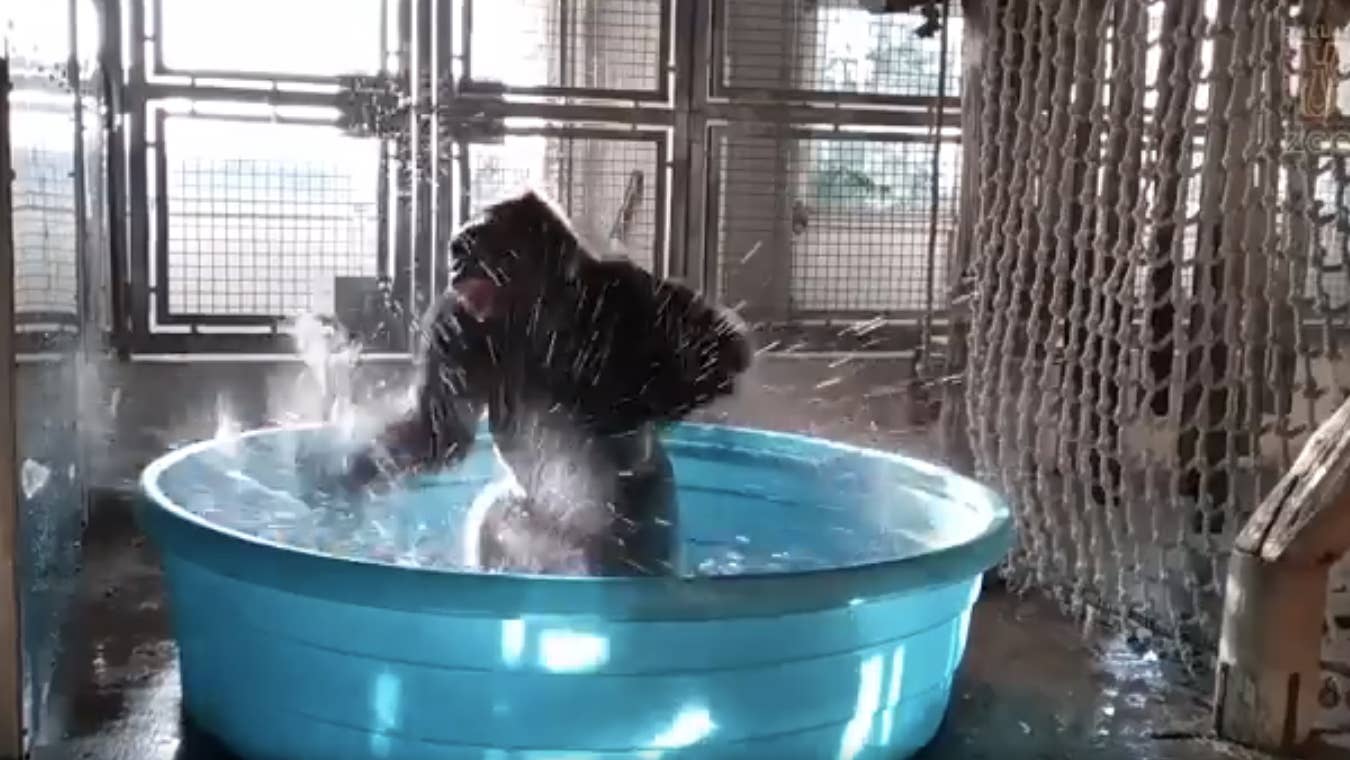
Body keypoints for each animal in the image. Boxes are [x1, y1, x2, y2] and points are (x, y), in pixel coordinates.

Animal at [344, 189, 753, 577]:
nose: (455, 267)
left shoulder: (624, 285)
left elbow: (722, 348)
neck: (534, 311)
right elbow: (437, 433)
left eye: (471, 247)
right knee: (497, 518)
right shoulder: (453, 321)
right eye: (456, 253)